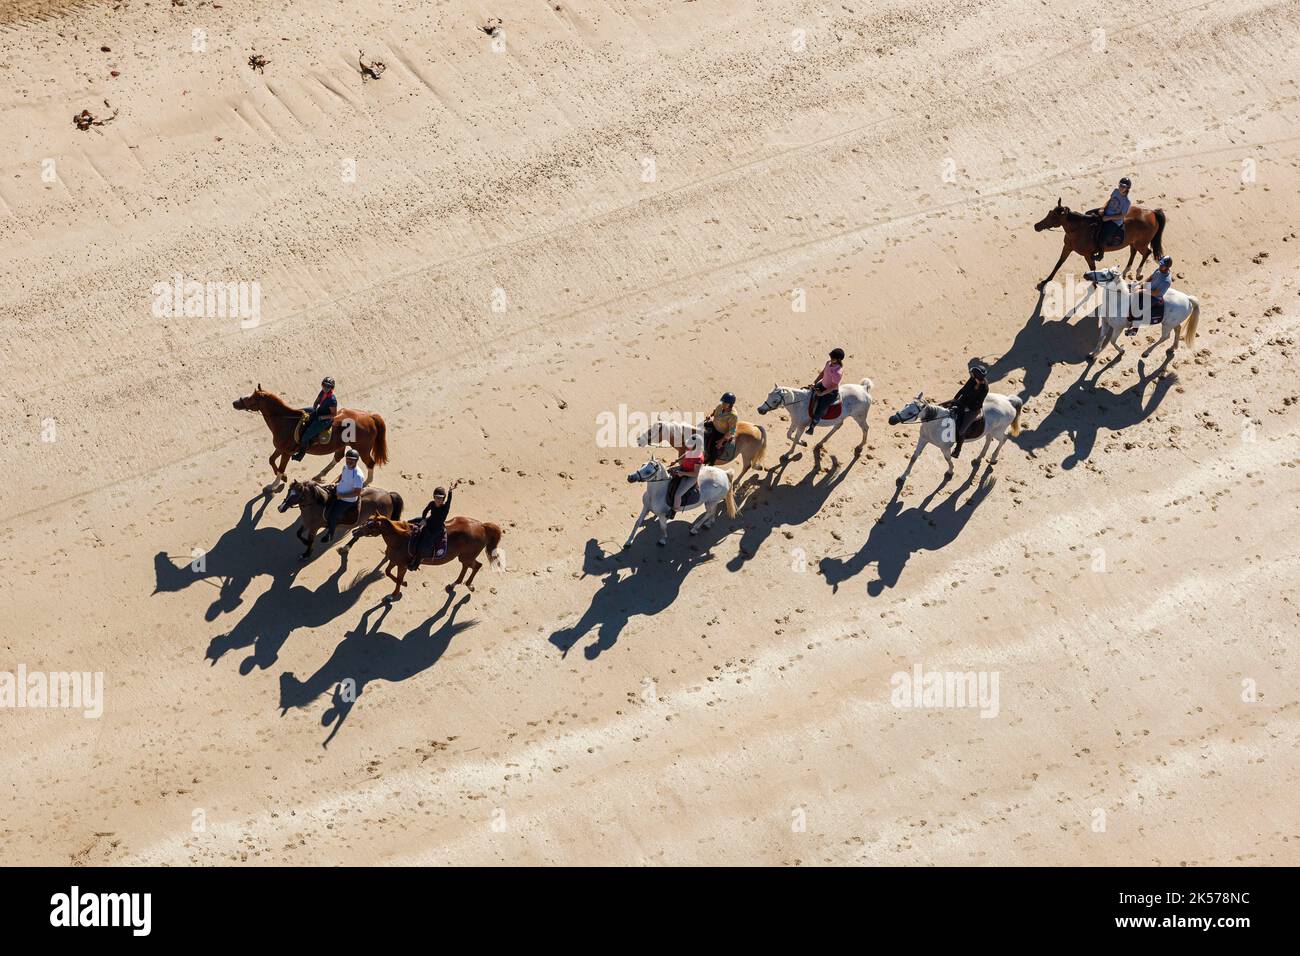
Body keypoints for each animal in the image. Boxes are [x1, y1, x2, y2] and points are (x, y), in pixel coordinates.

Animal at [233, 382, 387, 489]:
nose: (235, 402)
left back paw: (366, 482)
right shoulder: (280, 448)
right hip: (343, 444)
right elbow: (271, 460)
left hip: (362, 449)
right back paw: (320, 475)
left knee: (370, 463)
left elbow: (281, 467)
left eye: (252, 398)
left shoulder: (286, 452)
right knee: (338, 457)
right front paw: (283, 478)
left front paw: (275, 484)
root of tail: (369, 416)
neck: (285, 421)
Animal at [351, 515, 501, 598]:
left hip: (467, 556)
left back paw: (468, 585)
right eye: (368, 520)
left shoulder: (402, 565)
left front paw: (393, 594)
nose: (354, 531)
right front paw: (404, 584)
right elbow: (388, 572)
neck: (399, 538)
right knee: (467, 567)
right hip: (464, 557)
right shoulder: (394, 560)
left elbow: (397, 579)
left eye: (371, 525)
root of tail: (481, 525)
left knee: (476, 566)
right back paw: (455, 584)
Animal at [883, 392, 1024, 486]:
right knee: (988, 440)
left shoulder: (945, 448)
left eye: (911, 413)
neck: (936, 422)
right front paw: (903, 477)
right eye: (905, 405)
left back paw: (993, 458)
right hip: (989, 430)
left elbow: (948, 459)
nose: (891, 419)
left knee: (1003, 439)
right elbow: (914, 457)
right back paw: (978, 459)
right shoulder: (923, 439)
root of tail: (1008, 400)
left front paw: (950, 472)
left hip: (998, 431)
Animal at [1034, 199, 1170, 290]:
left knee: (1147, 252)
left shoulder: (1088, 255)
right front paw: (1045, 281)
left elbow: (1092, 268)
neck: (1078, 230)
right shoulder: (1067, 247)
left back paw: (1138, 272)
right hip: (1133, 242)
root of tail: (1152, 212)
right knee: (1133, 252)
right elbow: (1059, 264)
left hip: (1141, 243)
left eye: (1054, 217)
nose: (1036, 226)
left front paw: (1095, 283)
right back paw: (1126, 271)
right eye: (1049, 212)